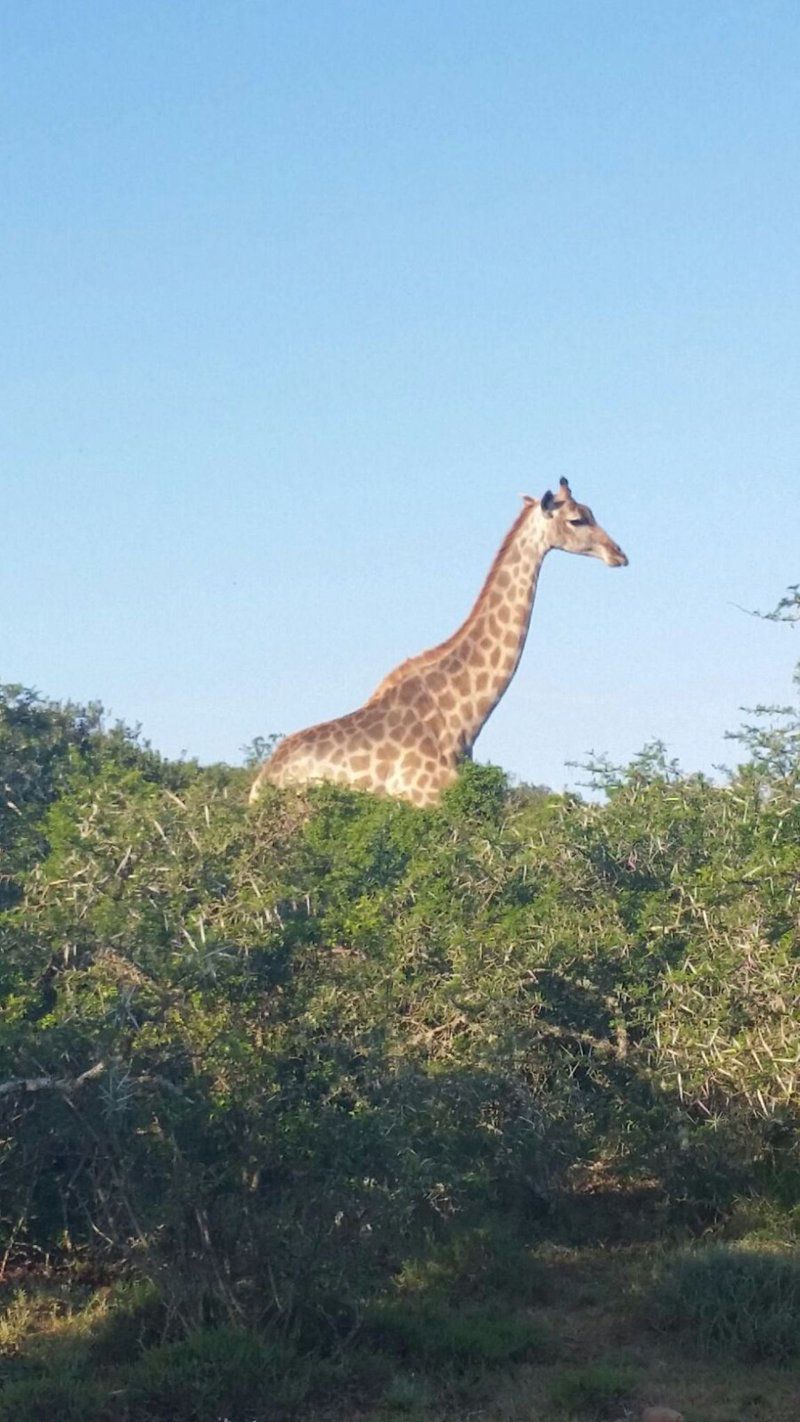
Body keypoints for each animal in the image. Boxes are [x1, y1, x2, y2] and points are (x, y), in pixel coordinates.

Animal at [251, 480, 633, 807]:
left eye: (592, 511)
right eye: (577, 519)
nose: (619, 554)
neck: (460, 718)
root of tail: (260, 782)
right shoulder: (426, 801)